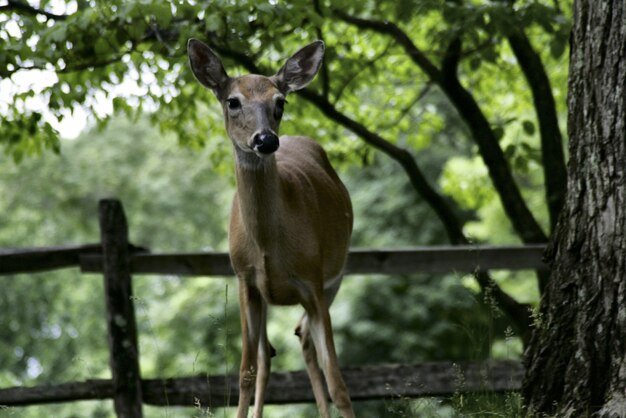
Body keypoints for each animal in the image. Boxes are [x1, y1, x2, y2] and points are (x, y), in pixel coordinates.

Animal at [185, 37, 354, 416]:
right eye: (233, 101)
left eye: (280, 102)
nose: (265, 140)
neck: (267, 245)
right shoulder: (245, 280)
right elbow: (246, 371)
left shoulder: (313, 280)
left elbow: (339, 382)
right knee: (268, 357)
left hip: (335, 278)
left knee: (304, 339)